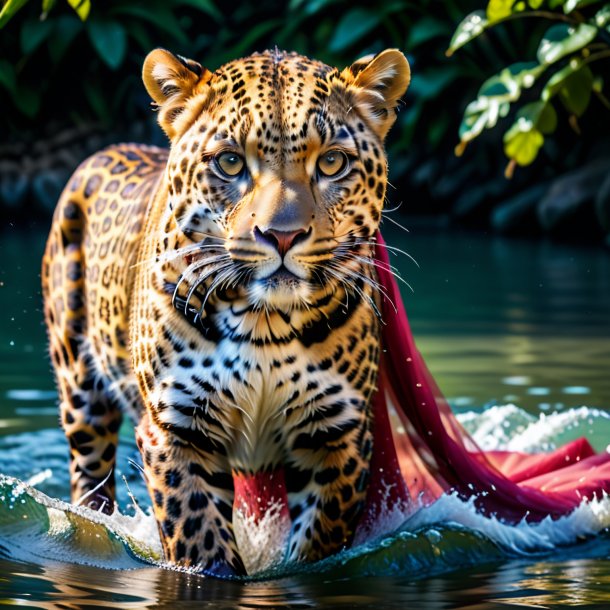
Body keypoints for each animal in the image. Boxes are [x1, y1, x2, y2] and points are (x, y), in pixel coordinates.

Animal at [41, 47, 408, 576]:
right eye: (231, 162)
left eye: (333, 162)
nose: (282, 236)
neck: (267, 322)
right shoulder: (176, 428)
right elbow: (200, 542)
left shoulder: (336, 433)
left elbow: (316, 543)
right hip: (79, 391)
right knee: (89, 480)